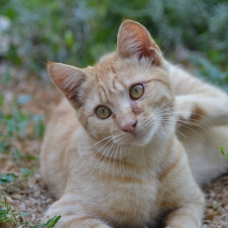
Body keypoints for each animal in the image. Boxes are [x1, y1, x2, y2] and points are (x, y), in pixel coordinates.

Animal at [40, 20, 228, 228]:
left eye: (136, 91)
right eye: (102, 112)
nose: (129, 124)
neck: (148, 162)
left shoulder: (191, 201)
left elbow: (182, 224)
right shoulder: (63, 213)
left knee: (220, 97)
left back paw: (183, 108)